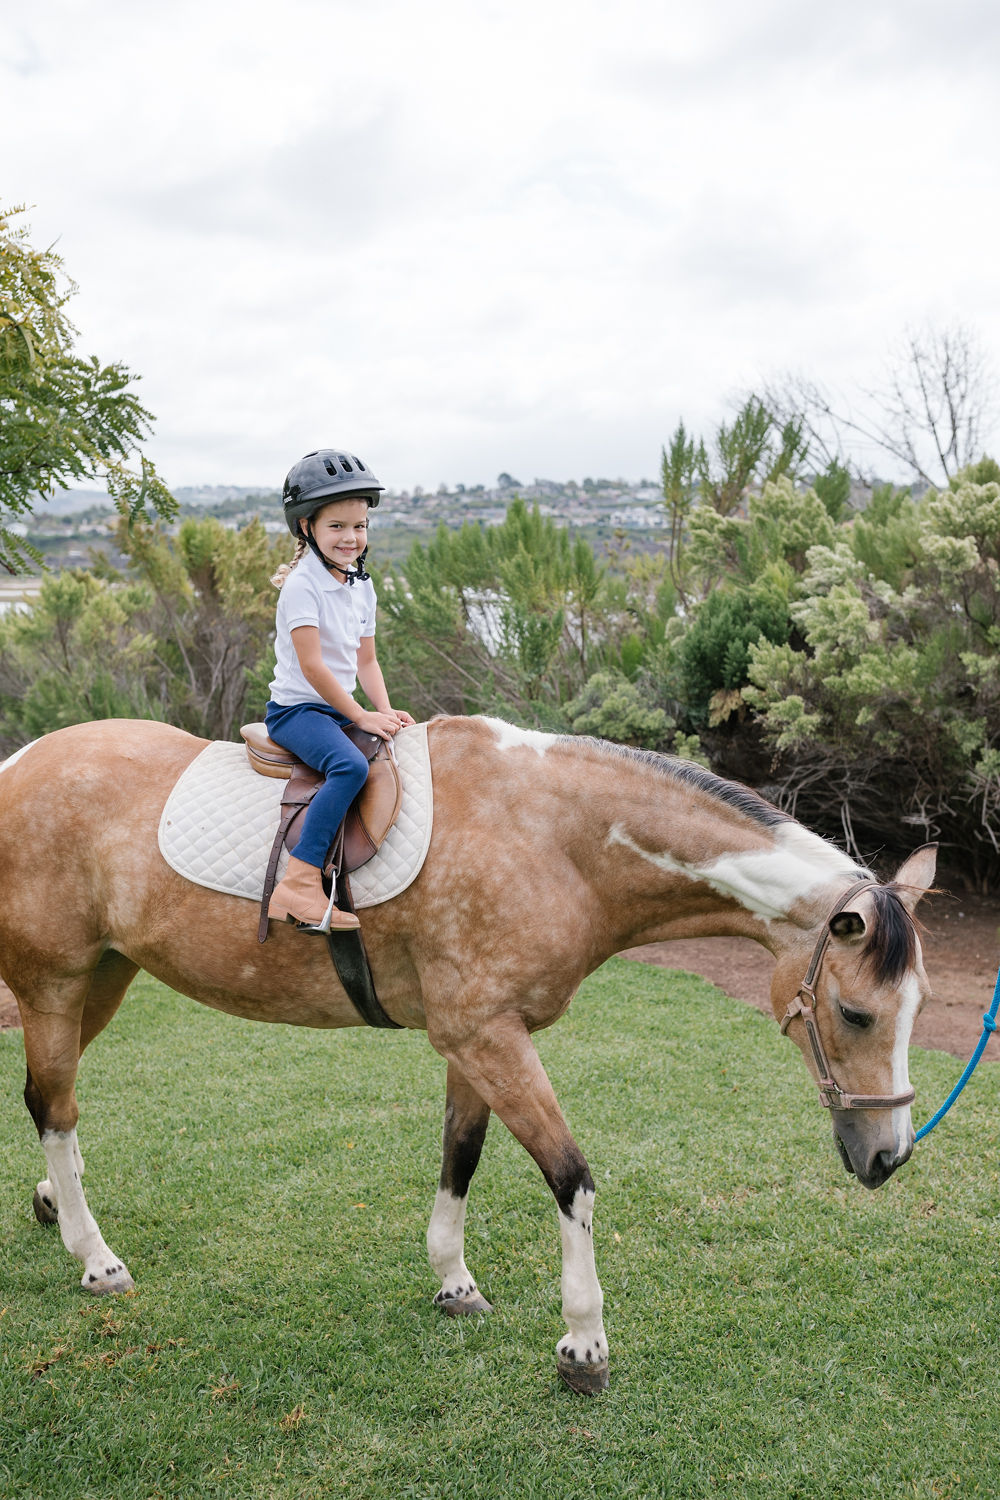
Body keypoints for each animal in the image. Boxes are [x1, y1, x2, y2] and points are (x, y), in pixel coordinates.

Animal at [0, 714, 941, 1392]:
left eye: (916, 1010)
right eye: (856, 1014)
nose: (889, 1156)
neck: (556, 838)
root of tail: (19, 765)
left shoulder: (476, 1040)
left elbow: (461, 1153)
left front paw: (453, 1282)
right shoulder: (488, 1036)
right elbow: (571, 1178)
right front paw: (583, 1343)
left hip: (105, 977)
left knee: (48, 1101)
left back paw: (56, 1204)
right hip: (53, 985)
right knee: (55, 1104)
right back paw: (96, 1259)